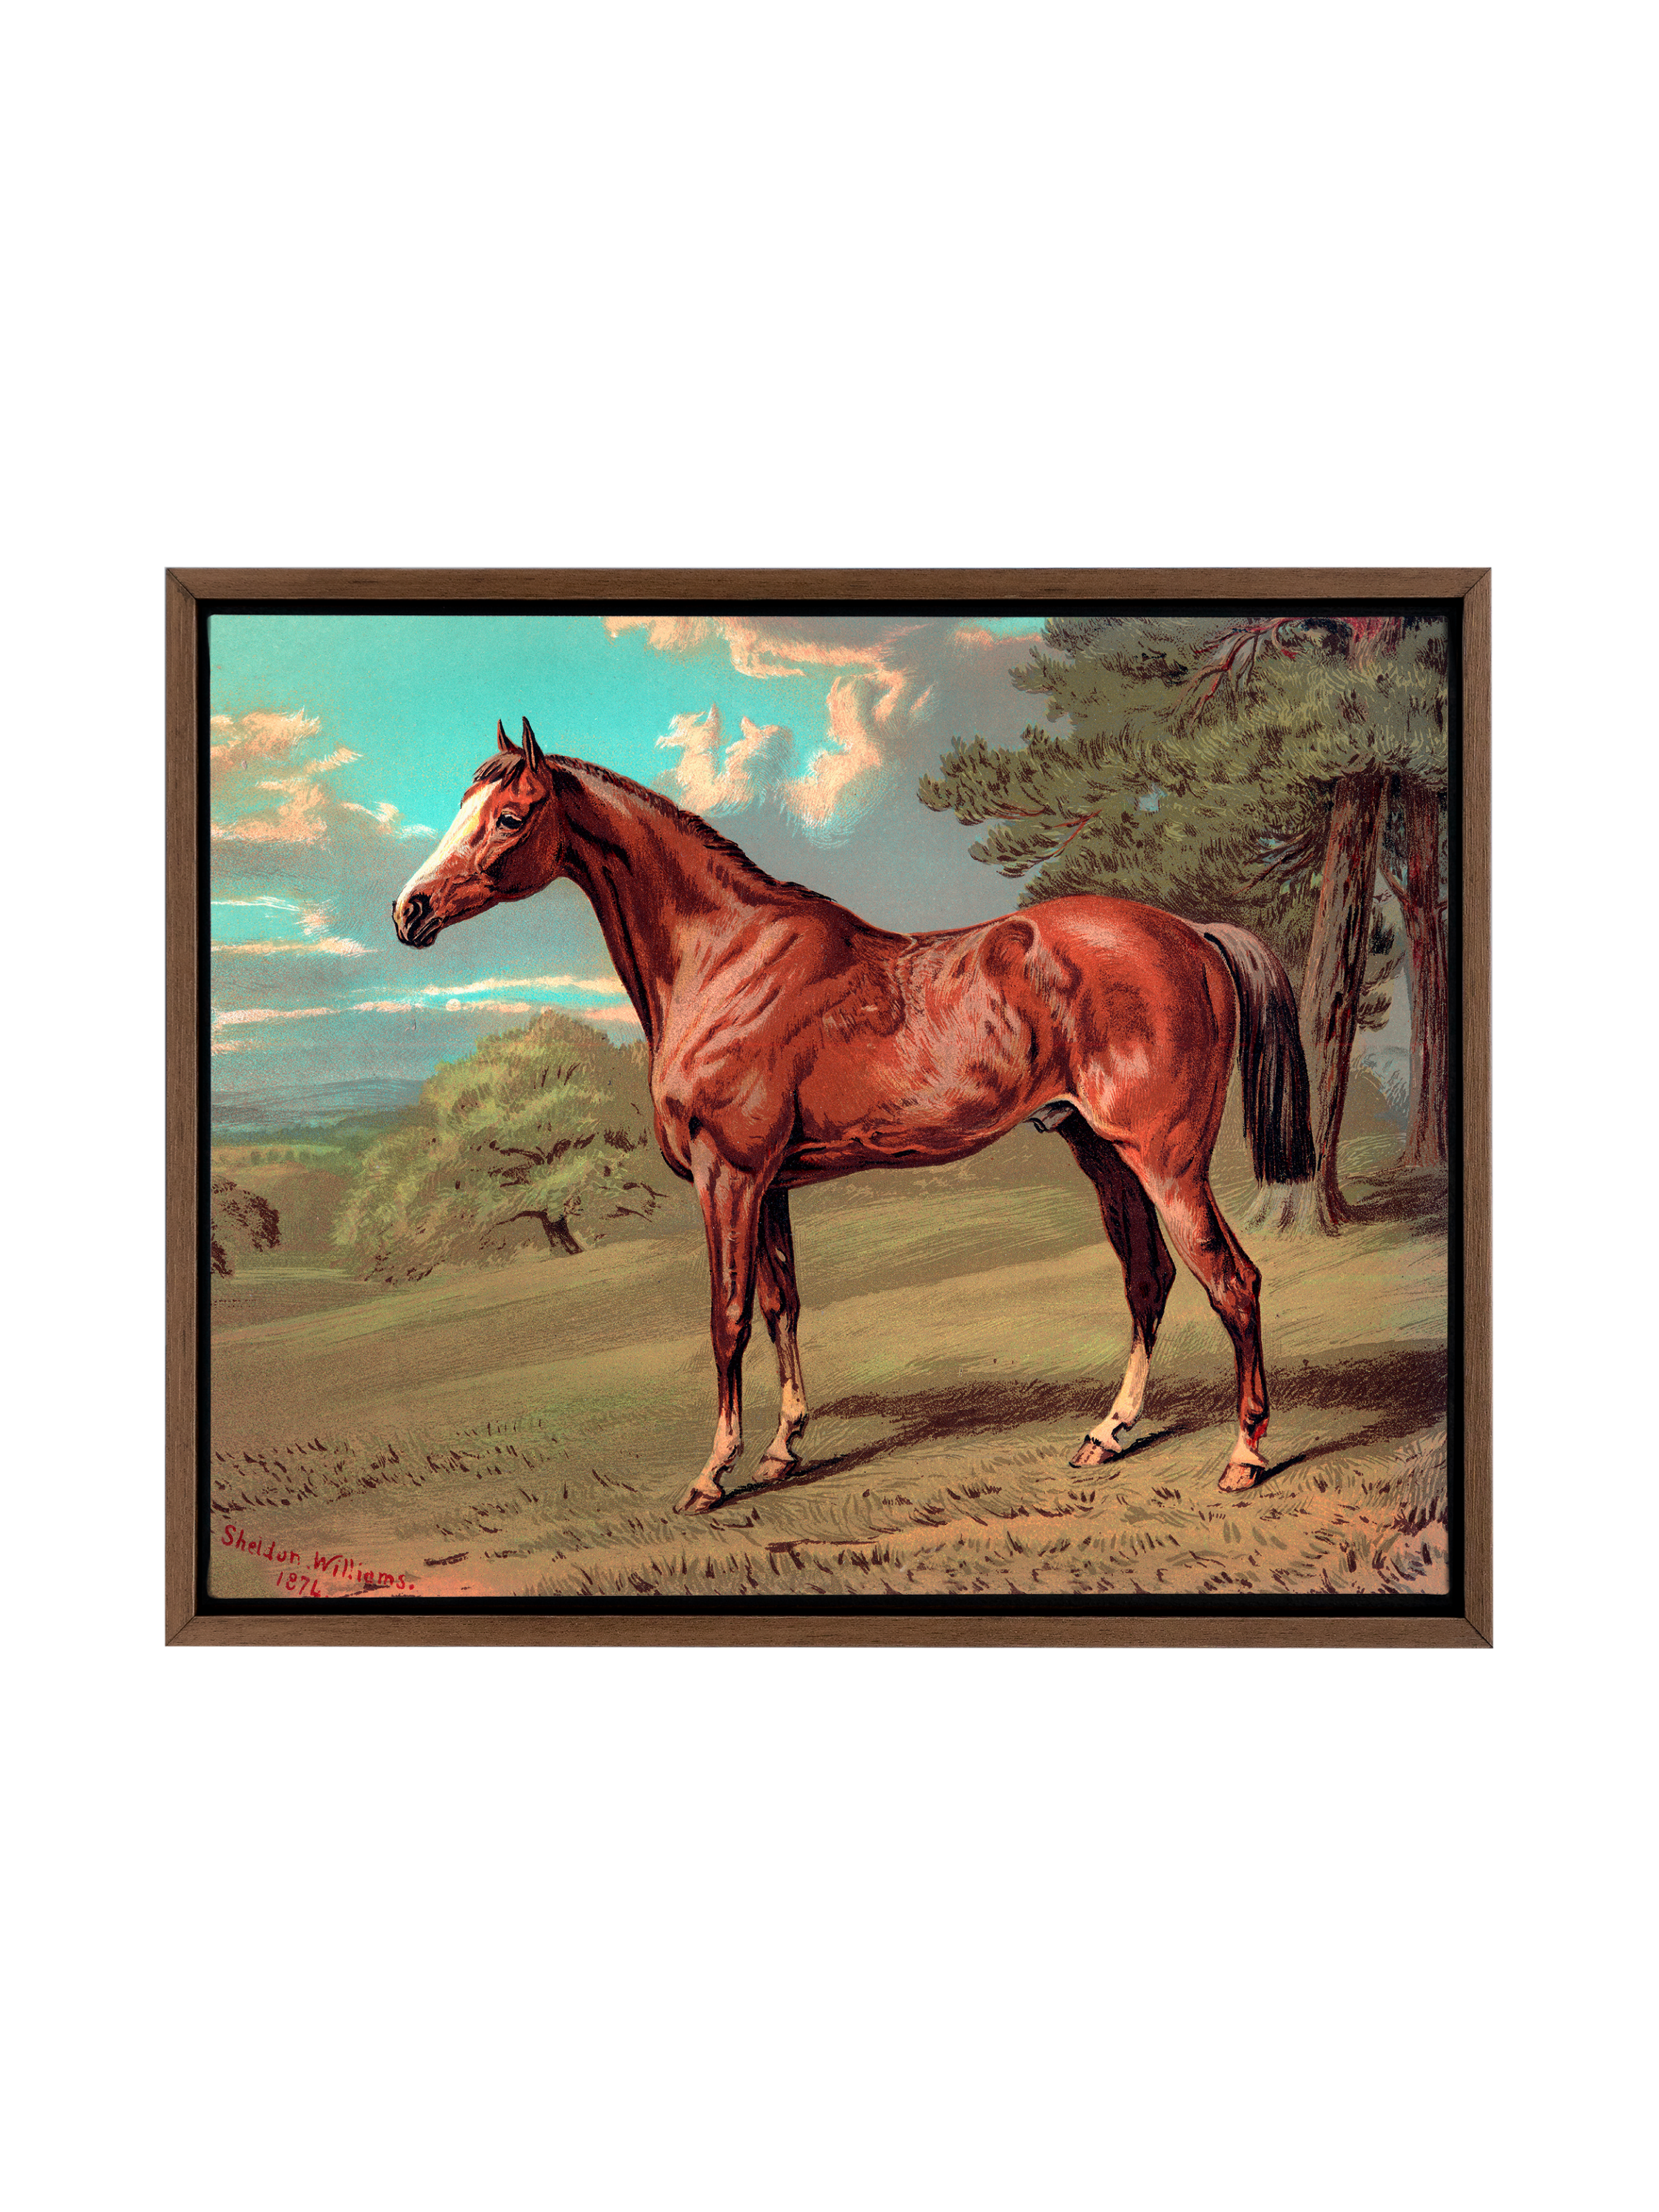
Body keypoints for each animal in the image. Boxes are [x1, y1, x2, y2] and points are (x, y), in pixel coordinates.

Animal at [394, 718, 1316, 1514]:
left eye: (509, 815)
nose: (410, 910)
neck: (725, 958)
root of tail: (1192, 932)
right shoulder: (769, 1185)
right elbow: (782, 1304)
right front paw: (782, 1449)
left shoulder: (728, 1176)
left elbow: (727, 1317)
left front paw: (712, 1474)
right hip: (1101, 1152)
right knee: (1148, 1280)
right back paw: (1108, 1433)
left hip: (1166, 1161)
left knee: (1232, 1281)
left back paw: (1245, 1456)